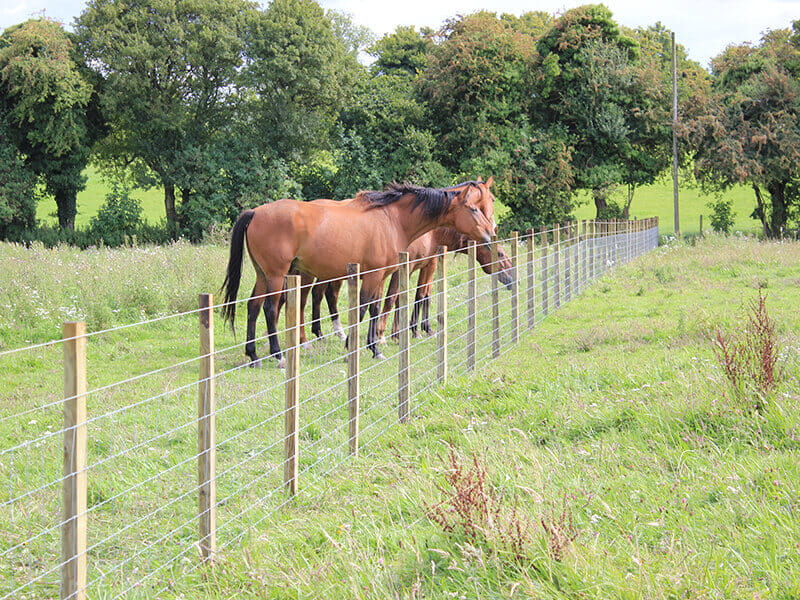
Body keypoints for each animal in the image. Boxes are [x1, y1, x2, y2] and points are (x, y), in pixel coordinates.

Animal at [222, 178, 496, 366]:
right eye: (474, 209)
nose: (489, 234)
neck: (392, 219)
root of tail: (255, 212)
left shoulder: (381, 275)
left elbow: (375, 308)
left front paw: (373, 347)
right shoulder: (373, 275)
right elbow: (364, 308)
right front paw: (353, 344)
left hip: (263, 274)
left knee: (253, 306)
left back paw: (253, 355)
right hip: (277, 274)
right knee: (270, 309)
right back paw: (278, 355)